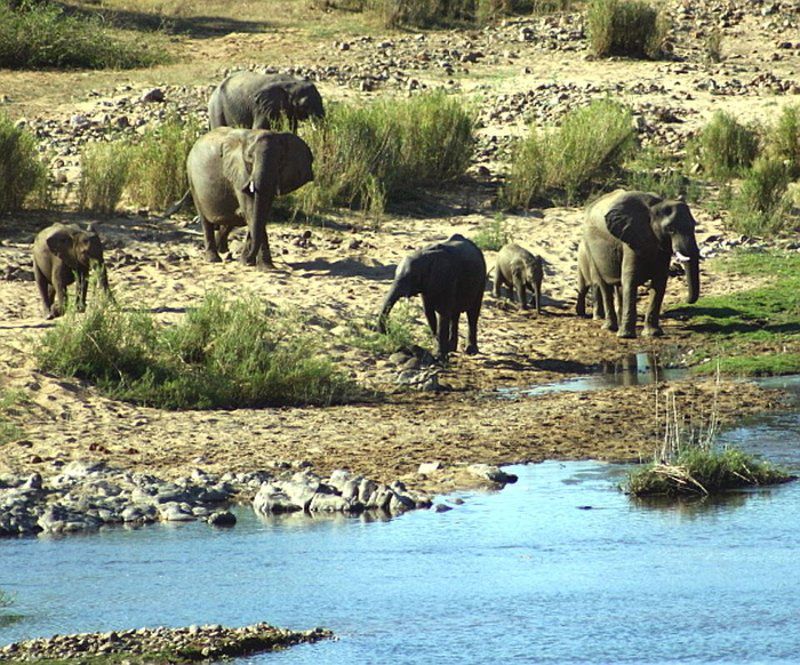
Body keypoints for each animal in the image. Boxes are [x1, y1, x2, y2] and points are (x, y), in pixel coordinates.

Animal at [186, 127, 314, 268]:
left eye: (280, 159)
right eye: (250, 157)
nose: (247, 260)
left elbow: (260, 213)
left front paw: (260, 265)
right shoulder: (239, 174)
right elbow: (251, 211)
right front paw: (260, 265)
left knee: (233, 218)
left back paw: (223, 250)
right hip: (192, 181)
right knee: (206, 220)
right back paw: (214, 259)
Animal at [580, 191, 700, 338]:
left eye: (694, 226)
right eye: (670, 229)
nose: (686, 300)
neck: (654, 207)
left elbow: (660, 281)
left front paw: (653, 334)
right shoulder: (631, 239)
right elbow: (630, 279)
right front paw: (626, 336)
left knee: (618, 286)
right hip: (591, 250)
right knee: (604, 285)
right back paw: (610, 328)